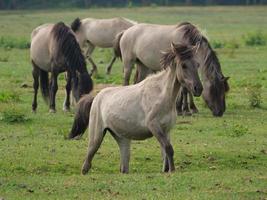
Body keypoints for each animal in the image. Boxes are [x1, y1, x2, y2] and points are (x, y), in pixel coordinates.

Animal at [67, 42, 203, 173]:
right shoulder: (154, 126)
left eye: (197, 64)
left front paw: (166, 169)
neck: (161, 95)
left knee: (123, 167)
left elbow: (165, 151)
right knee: (87, 162)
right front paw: (172, 171)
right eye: (184, 65)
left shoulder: (166, 130)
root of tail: (96, 97)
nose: (198, 89)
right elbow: (168, 148)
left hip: (122, 139)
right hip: (96, 137)